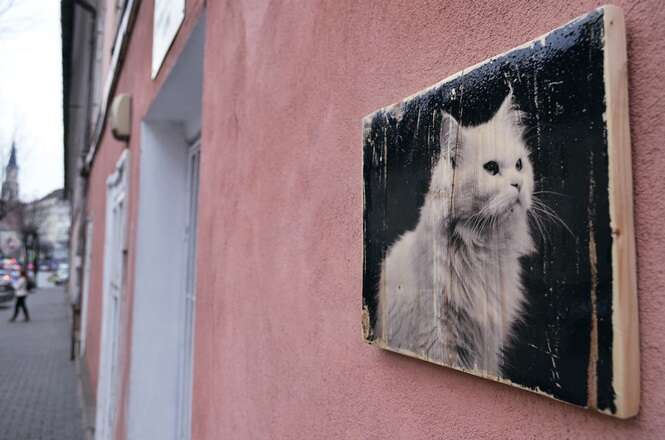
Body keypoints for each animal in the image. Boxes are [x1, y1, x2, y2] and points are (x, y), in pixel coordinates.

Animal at [376, 92, 532, 374]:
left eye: (519, 165)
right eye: (491, 168)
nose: (519, 184)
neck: (483, 252)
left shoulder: (487, 344)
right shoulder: (437, 338)